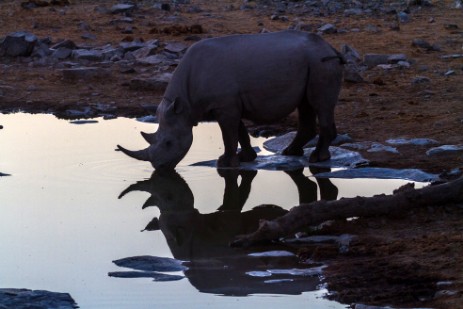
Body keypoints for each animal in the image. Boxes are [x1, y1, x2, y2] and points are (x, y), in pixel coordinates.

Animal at [118, 30, 344, 170]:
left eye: (168, 143)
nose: (159, 167)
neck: (184, 105)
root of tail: (330, 47)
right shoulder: (229, 104)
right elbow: (239, 131)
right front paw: (247, 158)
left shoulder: (225, 105)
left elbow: (228, 134)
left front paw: (225, 163)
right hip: (313, 63)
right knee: (306, 104)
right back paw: (291, 152)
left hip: (321, 63)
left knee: (319, 104)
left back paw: (317, 158)